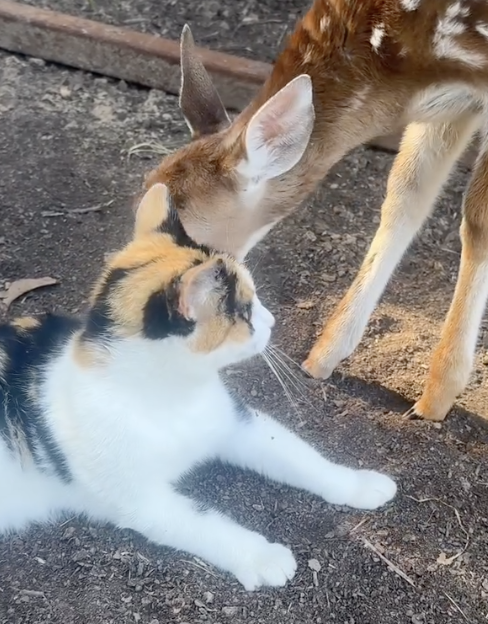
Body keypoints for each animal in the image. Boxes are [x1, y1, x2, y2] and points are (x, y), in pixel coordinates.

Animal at [0, 184, 396, 588]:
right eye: (247, 311)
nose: (272, 321)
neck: (170, 397)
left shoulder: (237, 424)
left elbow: (299, 457)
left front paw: (357, 484)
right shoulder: (142, 500)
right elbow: (205, 523)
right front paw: (263, 556)